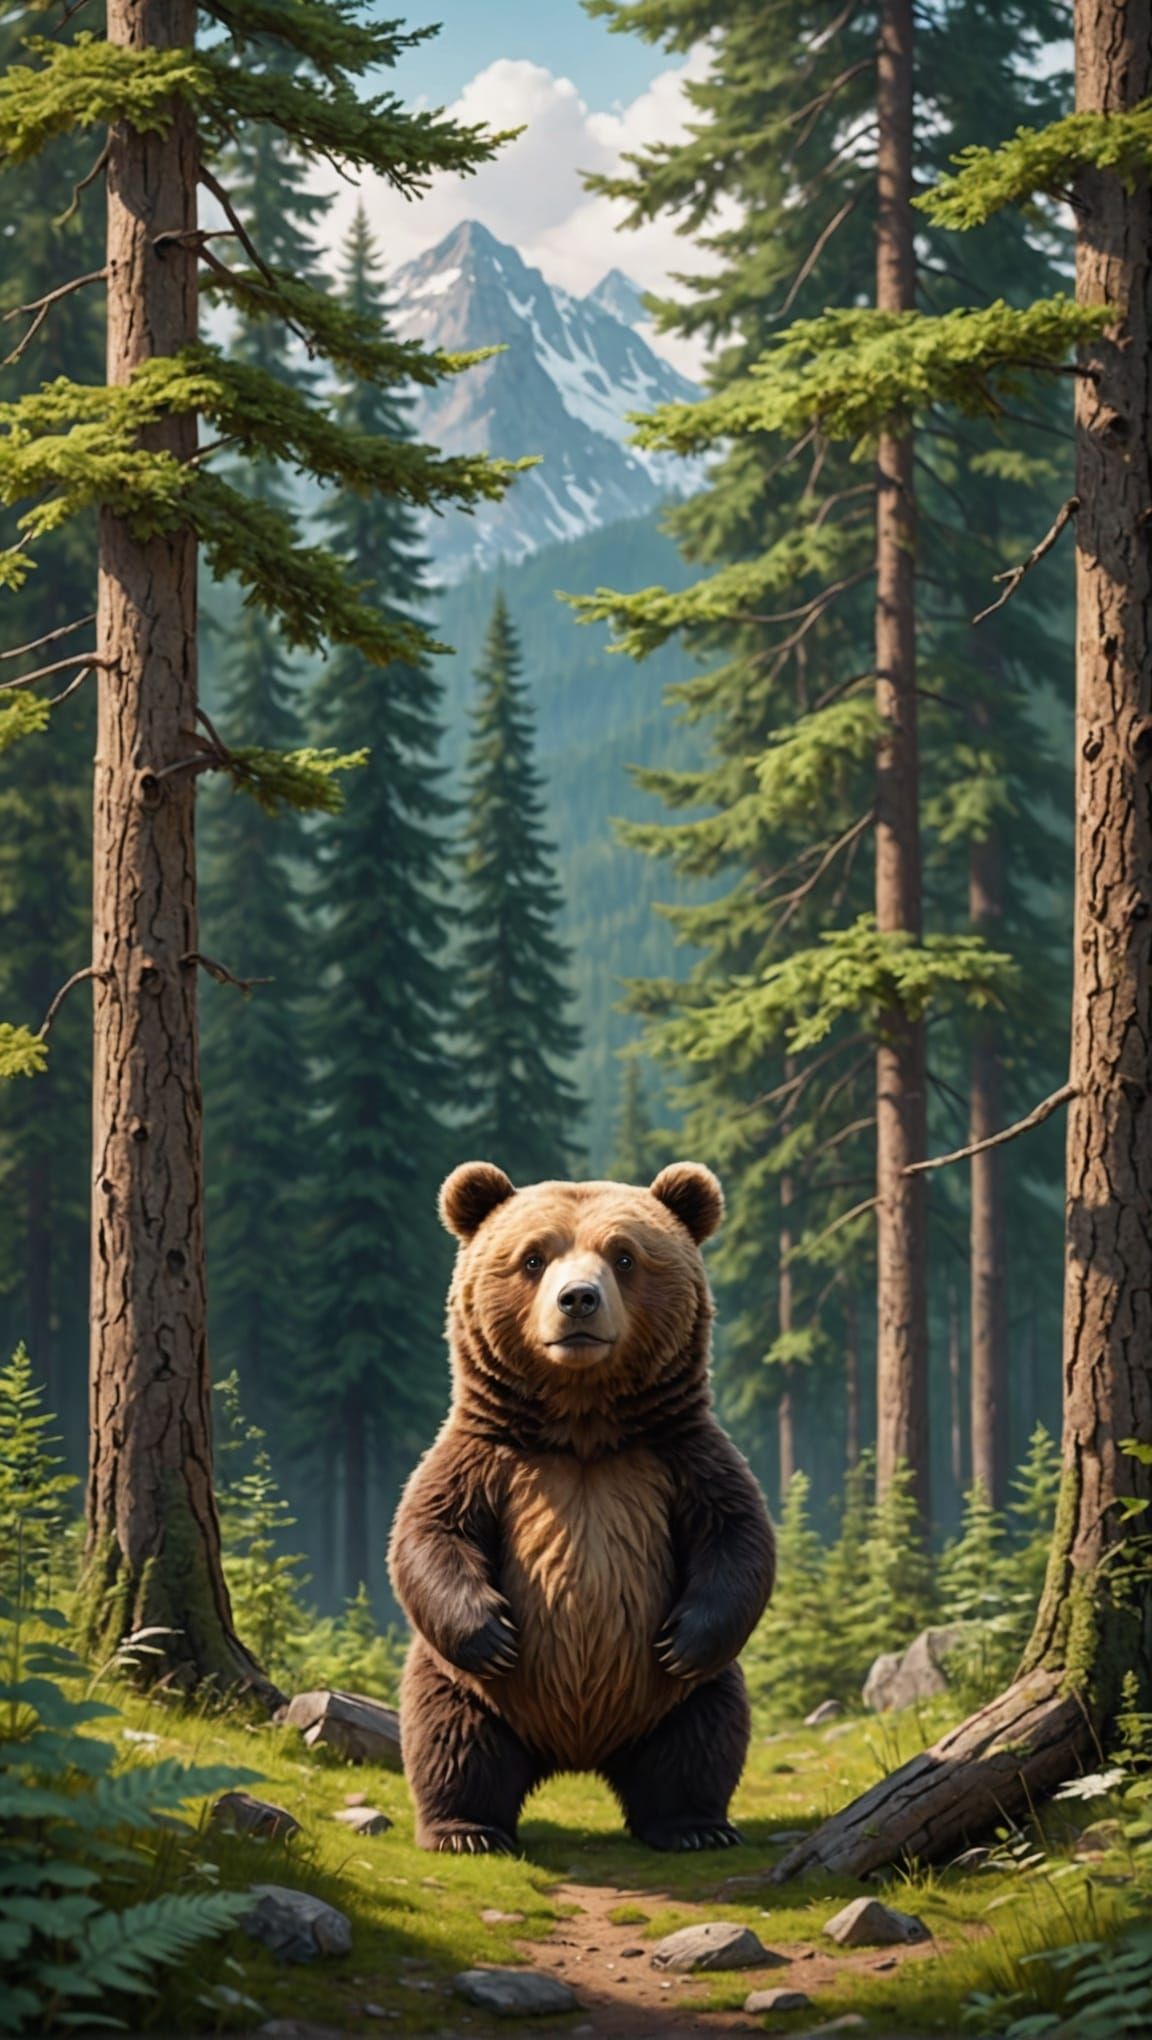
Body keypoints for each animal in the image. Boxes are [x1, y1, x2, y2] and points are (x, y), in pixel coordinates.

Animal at [388, 1159, 776, 1857]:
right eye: (533, 1257)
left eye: (624, 1255)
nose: (578, 1300)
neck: (582, 1427)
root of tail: (577, 1755)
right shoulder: (486, 1459)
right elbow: (432, 1532)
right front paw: (493, 1635)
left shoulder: (677, 1458)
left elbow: (736, 1536)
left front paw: (682, 1640)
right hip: (462, 1689)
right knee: (453, 1743)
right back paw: (466, 1831)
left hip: (679, 1702)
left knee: (701, 1741)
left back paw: (694, 1826)